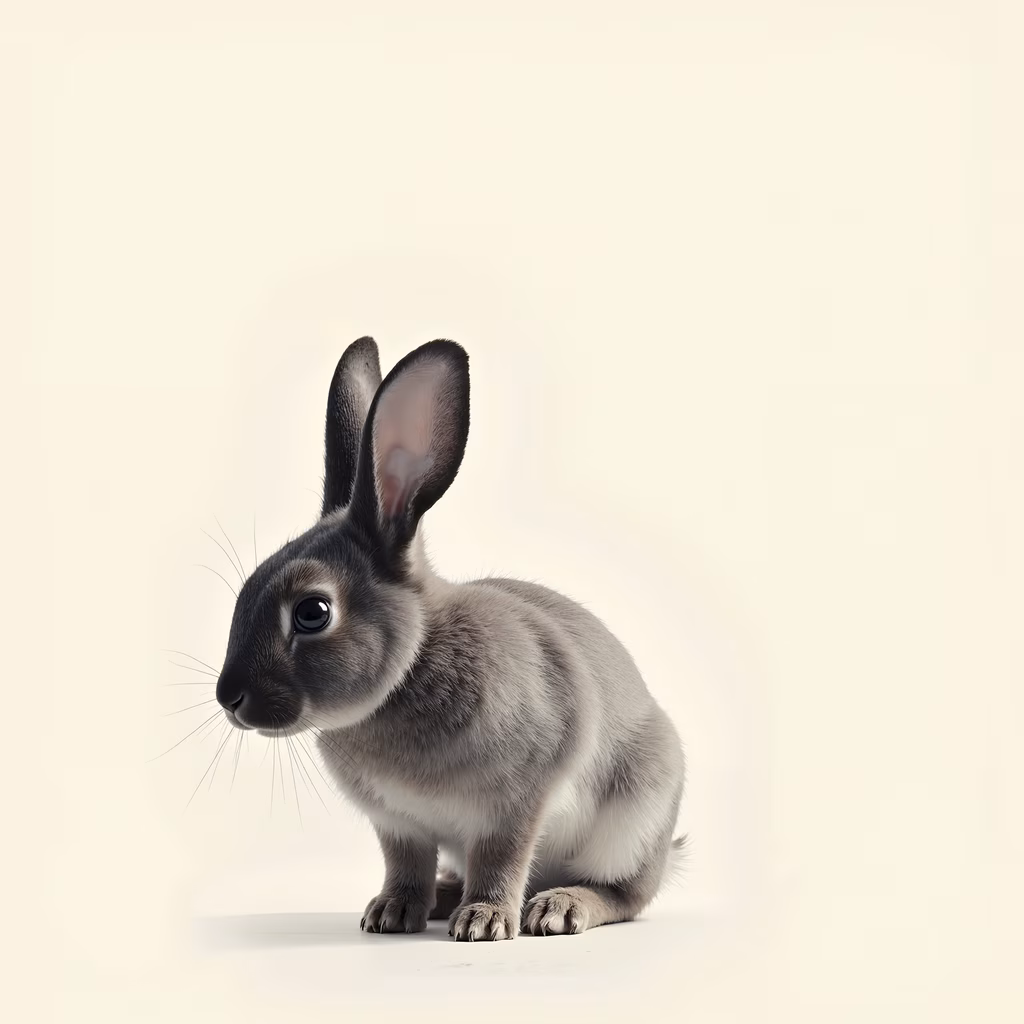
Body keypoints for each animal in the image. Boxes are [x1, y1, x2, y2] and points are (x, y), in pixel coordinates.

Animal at [215, 336, 686, 940]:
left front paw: (484, 921)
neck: (412, 666)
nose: (230, 698)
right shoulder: (398, 823)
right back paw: (444, 897)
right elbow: (405, 865)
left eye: (313, 612)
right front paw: (391, 913)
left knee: (626, 894)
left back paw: (557, 908)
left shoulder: (515, 805)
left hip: (634, 822)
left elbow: (501, 858)